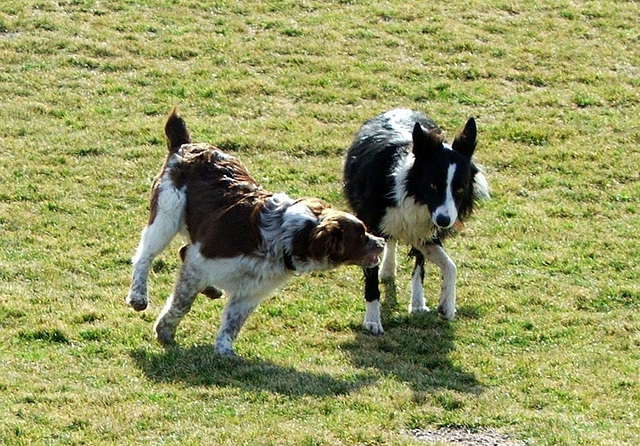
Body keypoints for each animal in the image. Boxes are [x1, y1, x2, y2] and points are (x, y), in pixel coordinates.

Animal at [125, 108, 384, 356]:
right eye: (360, 235)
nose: (382, 242)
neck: (283, 238)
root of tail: (185, 144)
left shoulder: (250, 292)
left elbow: (233, 324)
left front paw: (224, 351)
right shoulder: (199, 263)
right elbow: (182, 303)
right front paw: (165, 331)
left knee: (182, 250)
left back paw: (210, 289)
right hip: (166, 216)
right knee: (144, 256)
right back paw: (138, 296)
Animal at [344, 109, 490, 334]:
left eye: (459, 189)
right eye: (433, 185)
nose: (444, 221)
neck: (414, 193)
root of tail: (400, 108)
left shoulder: (425, 234)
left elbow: (449, 266)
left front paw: (446, 306)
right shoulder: (371, 228)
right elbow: (371, 281)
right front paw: (372, 320)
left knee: (417, 264)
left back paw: (417, 302)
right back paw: (388, 271)